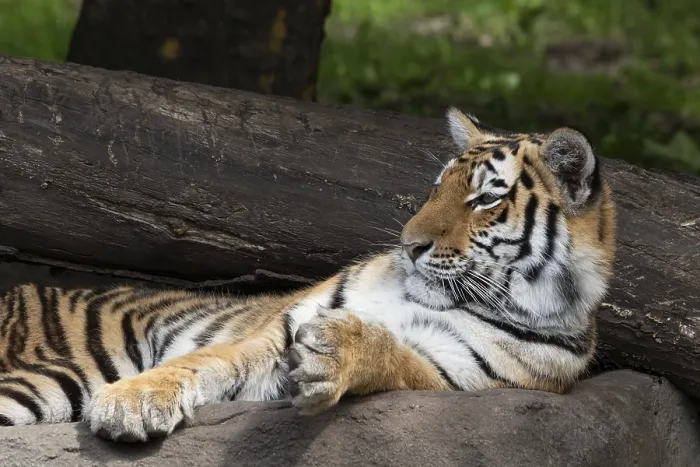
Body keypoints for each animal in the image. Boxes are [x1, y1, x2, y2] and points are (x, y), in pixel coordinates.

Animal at [0, 108, 616, 442]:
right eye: (436, 188)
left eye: (486, 198)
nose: (408, 245)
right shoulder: (274, 331)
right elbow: (205, 360)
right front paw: (132, 401)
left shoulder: (450, 375)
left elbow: (389, 356)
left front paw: (339, 352)